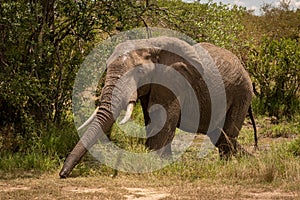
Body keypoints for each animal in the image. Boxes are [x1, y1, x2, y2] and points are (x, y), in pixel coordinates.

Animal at [59, 36, 258, 178]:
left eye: (139, 71)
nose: (62, 174)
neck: (149, 45)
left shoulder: (172, 83)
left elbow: (163, 124)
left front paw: (156, 164)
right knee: (220, 136)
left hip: (241, 92)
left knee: (225, 138)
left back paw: (228, 165)